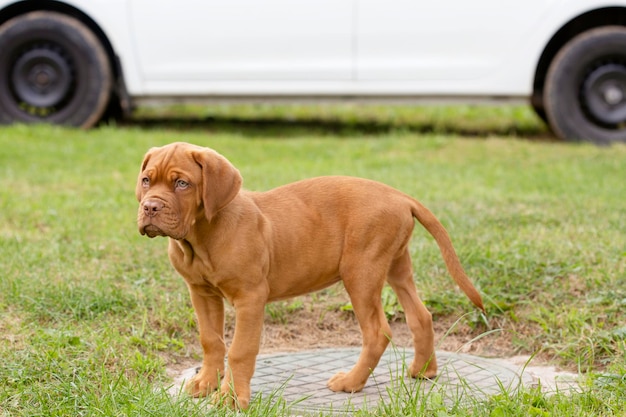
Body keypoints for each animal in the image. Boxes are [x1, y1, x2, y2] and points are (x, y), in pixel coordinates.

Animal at [136, 141, 482, 408]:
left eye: (182, 184)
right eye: (146, 180)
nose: (150, 207)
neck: (200, 238)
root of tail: (400, 195)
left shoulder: (250, 298)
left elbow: (239, 350)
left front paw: (232, 398)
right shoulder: (201, 292)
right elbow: (211, 340)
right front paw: (206, 383)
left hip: (361, 272)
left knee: (378, 332)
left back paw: (351, 382)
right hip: (397, 265)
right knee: (420, 316)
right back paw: (424, 371)